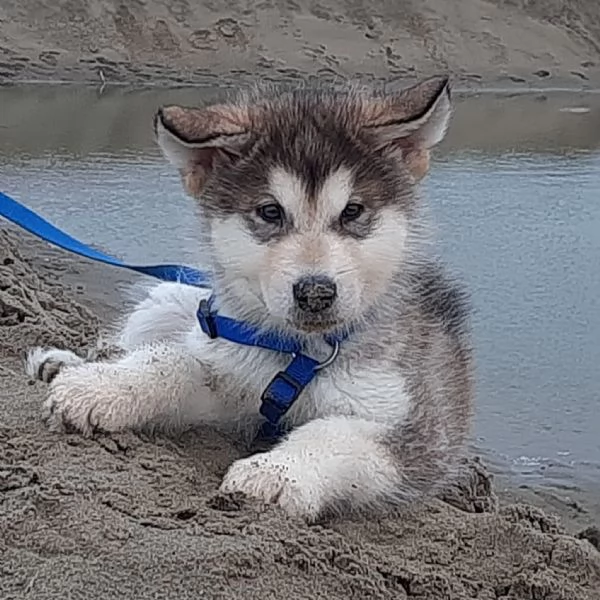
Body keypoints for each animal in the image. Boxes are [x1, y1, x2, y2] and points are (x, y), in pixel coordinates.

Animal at [25, 77, 474, 520]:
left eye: (352, 211)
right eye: (270, 212)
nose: (315, 293)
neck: (299, 353)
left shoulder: (418, 431)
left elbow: (336, 432)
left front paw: (277, 471)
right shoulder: (227, 366)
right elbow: (171, 360)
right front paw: (101, 387)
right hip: (172, 299)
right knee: (130, 341)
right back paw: (66, 362)